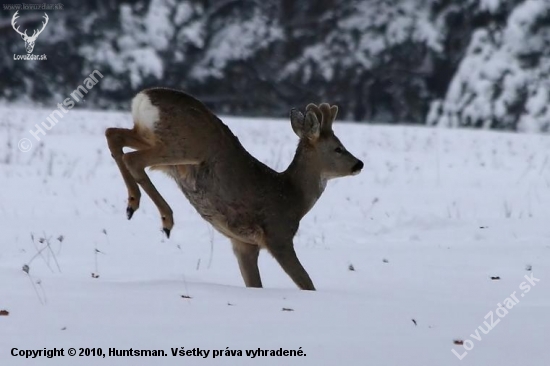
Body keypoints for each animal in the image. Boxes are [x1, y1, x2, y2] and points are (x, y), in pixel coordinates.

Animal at [106, 87, 366, 290]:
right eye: (338, 148)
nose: (359, 164)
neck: (293, 198)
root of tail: (144, 96)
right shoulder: (278, 234)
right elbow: (306, 282)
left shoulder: (244, 244)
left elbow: (254, 284)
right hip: (184, 146)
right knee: (133, 159)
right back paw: (164, 217)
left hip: (152, 138)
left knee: (114, 135)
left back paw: (133, 204)